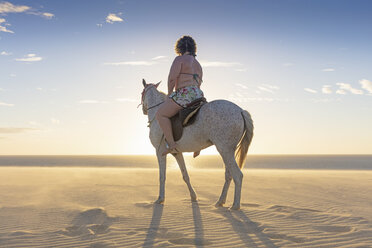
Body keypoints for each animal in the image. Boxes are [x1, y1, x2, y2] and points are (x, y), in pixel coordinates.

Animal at [141, 79, 254, 209]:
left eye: (142, 93)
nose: (144, 110)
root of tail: (240, 110)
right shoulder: (177, 153)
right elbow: (185, 175)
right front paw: (193, 197)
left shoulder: (159, 152)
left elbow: (162, 176)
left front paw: (160, 199)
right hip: (228, 152)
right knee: (229, 175)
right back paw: (220, 201)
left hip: (225, 150)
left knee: (238, 175)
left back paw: (235, 205)